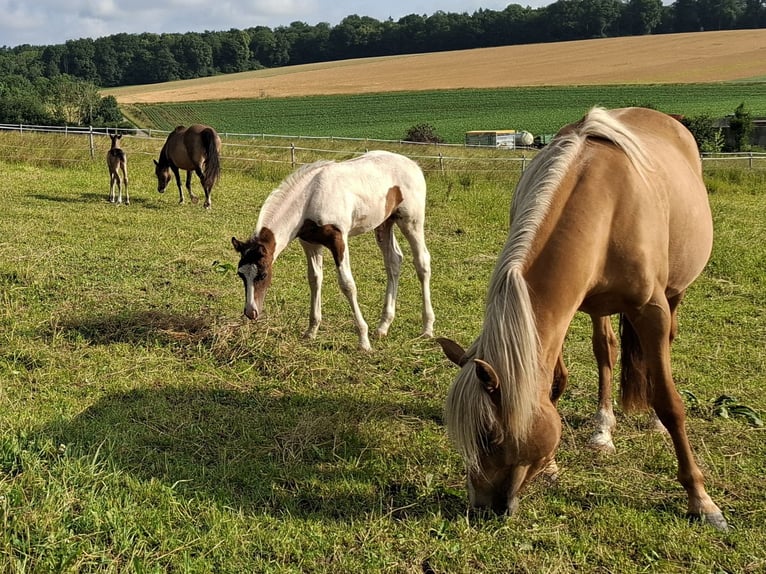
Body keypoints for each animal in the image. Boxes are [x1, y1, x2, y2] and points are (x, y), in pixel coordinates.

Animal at [231, 150, 435, 351]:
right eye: (241, 275)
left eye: (263, 275)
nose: (250, 312)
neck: (309, 199)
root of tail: (413, 164)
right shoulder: (310, 243)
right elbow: (314, 280)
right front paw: (311, 331)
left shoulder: (338, 240)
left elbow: (347, 285)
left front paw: (363, 340)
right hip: (384, 223)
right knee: (394, 261)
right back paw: (383, 326)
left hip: (411, 221)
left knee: (422, 262)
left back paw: (427, 328)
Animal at [437, 107, 727, 531]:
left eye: (491, 436)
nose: (481, 508)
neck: (606, 202)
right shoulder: (553, 316)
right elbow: (554, 384)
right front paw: (552, 466)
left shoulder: (651, 310)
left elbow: (670, 402)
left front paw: (701, 501)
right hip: (597, 307)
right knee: (605, 350)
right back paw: (602, 429)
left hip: (674, 294)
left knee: (662, 350)